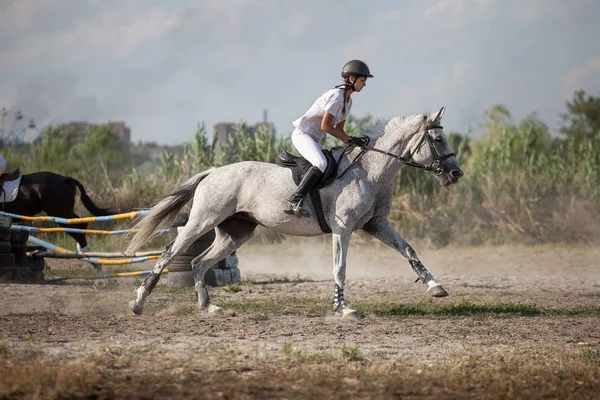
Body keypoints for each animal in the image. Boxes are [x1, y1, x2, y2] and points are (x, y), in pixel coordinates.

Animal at [124, 108, 464, 318]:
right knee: (170, 254)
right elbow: (340, 268)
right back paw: (138, 303)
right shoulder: (343, 229)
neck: (371, 171)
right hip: (202, 221)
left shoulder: (376, 224)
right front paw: (343, 309)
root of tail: (212, 172)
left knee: (198, 262)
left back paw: (209, 307)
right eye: (437, 139)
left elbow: (408, 249)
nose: (456, 173)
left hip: (235, 232)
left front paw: (435, 287)